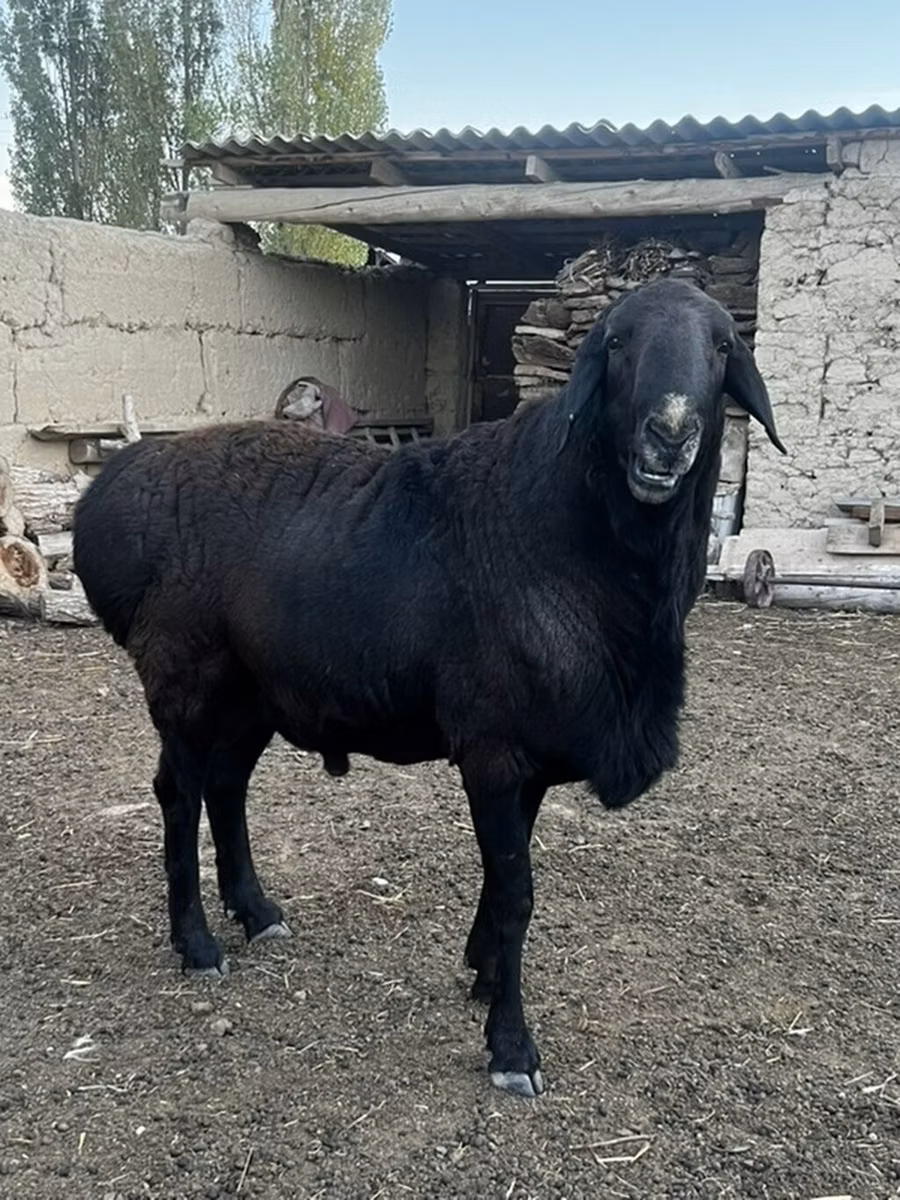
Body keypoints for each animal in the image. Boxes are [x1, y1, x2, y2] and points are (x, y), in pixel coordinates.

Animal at [72, 277, 785, 1099]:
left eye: (723, 346)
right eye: (617, 342)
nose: (669, 434)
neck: (573, 541)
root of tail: (106, 496)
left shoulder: (524, 761)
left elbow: (501, 882)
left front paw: (482, 973)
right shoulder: (495, 751)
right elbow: (517, 895)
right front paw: (511, 1048)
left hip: (254, 693)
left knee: (226, 787)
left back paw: (256, 911)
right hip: (184, 681)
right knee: (179, 796)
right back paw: (196, 943)